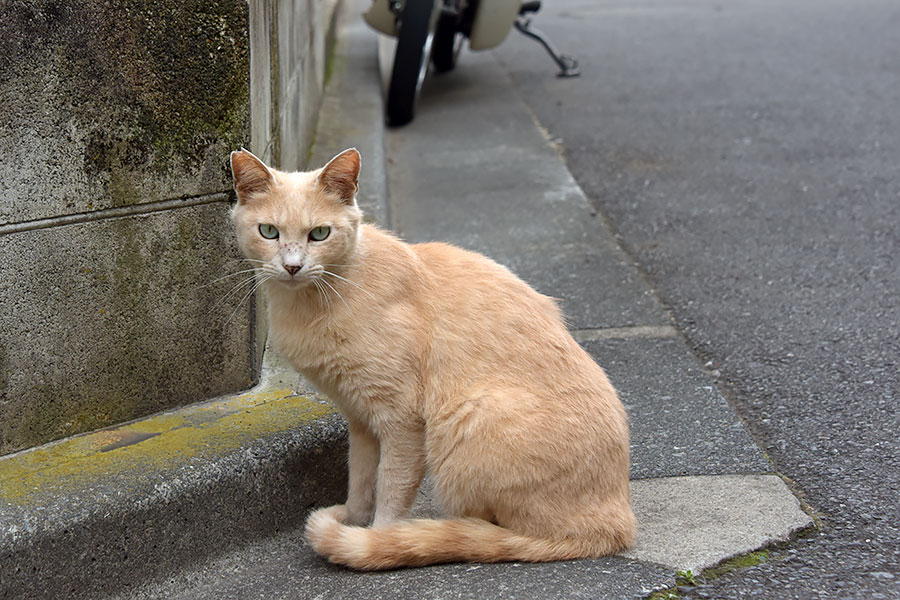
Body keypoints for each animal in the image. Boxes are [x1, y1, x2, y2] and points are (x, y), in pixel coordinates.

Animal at [229, 148, 636, 568]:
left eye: (319, 234)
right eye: (269, 232)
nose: (292, 266)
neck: (316, 302)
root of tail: (614, 525)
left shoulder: (402, 420)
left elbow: (392, 487)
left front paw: (378, 538)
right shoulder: (360, 418)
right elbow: (360, 478)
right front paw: (354, 518)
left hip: (465, 420)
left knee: (501, 528)